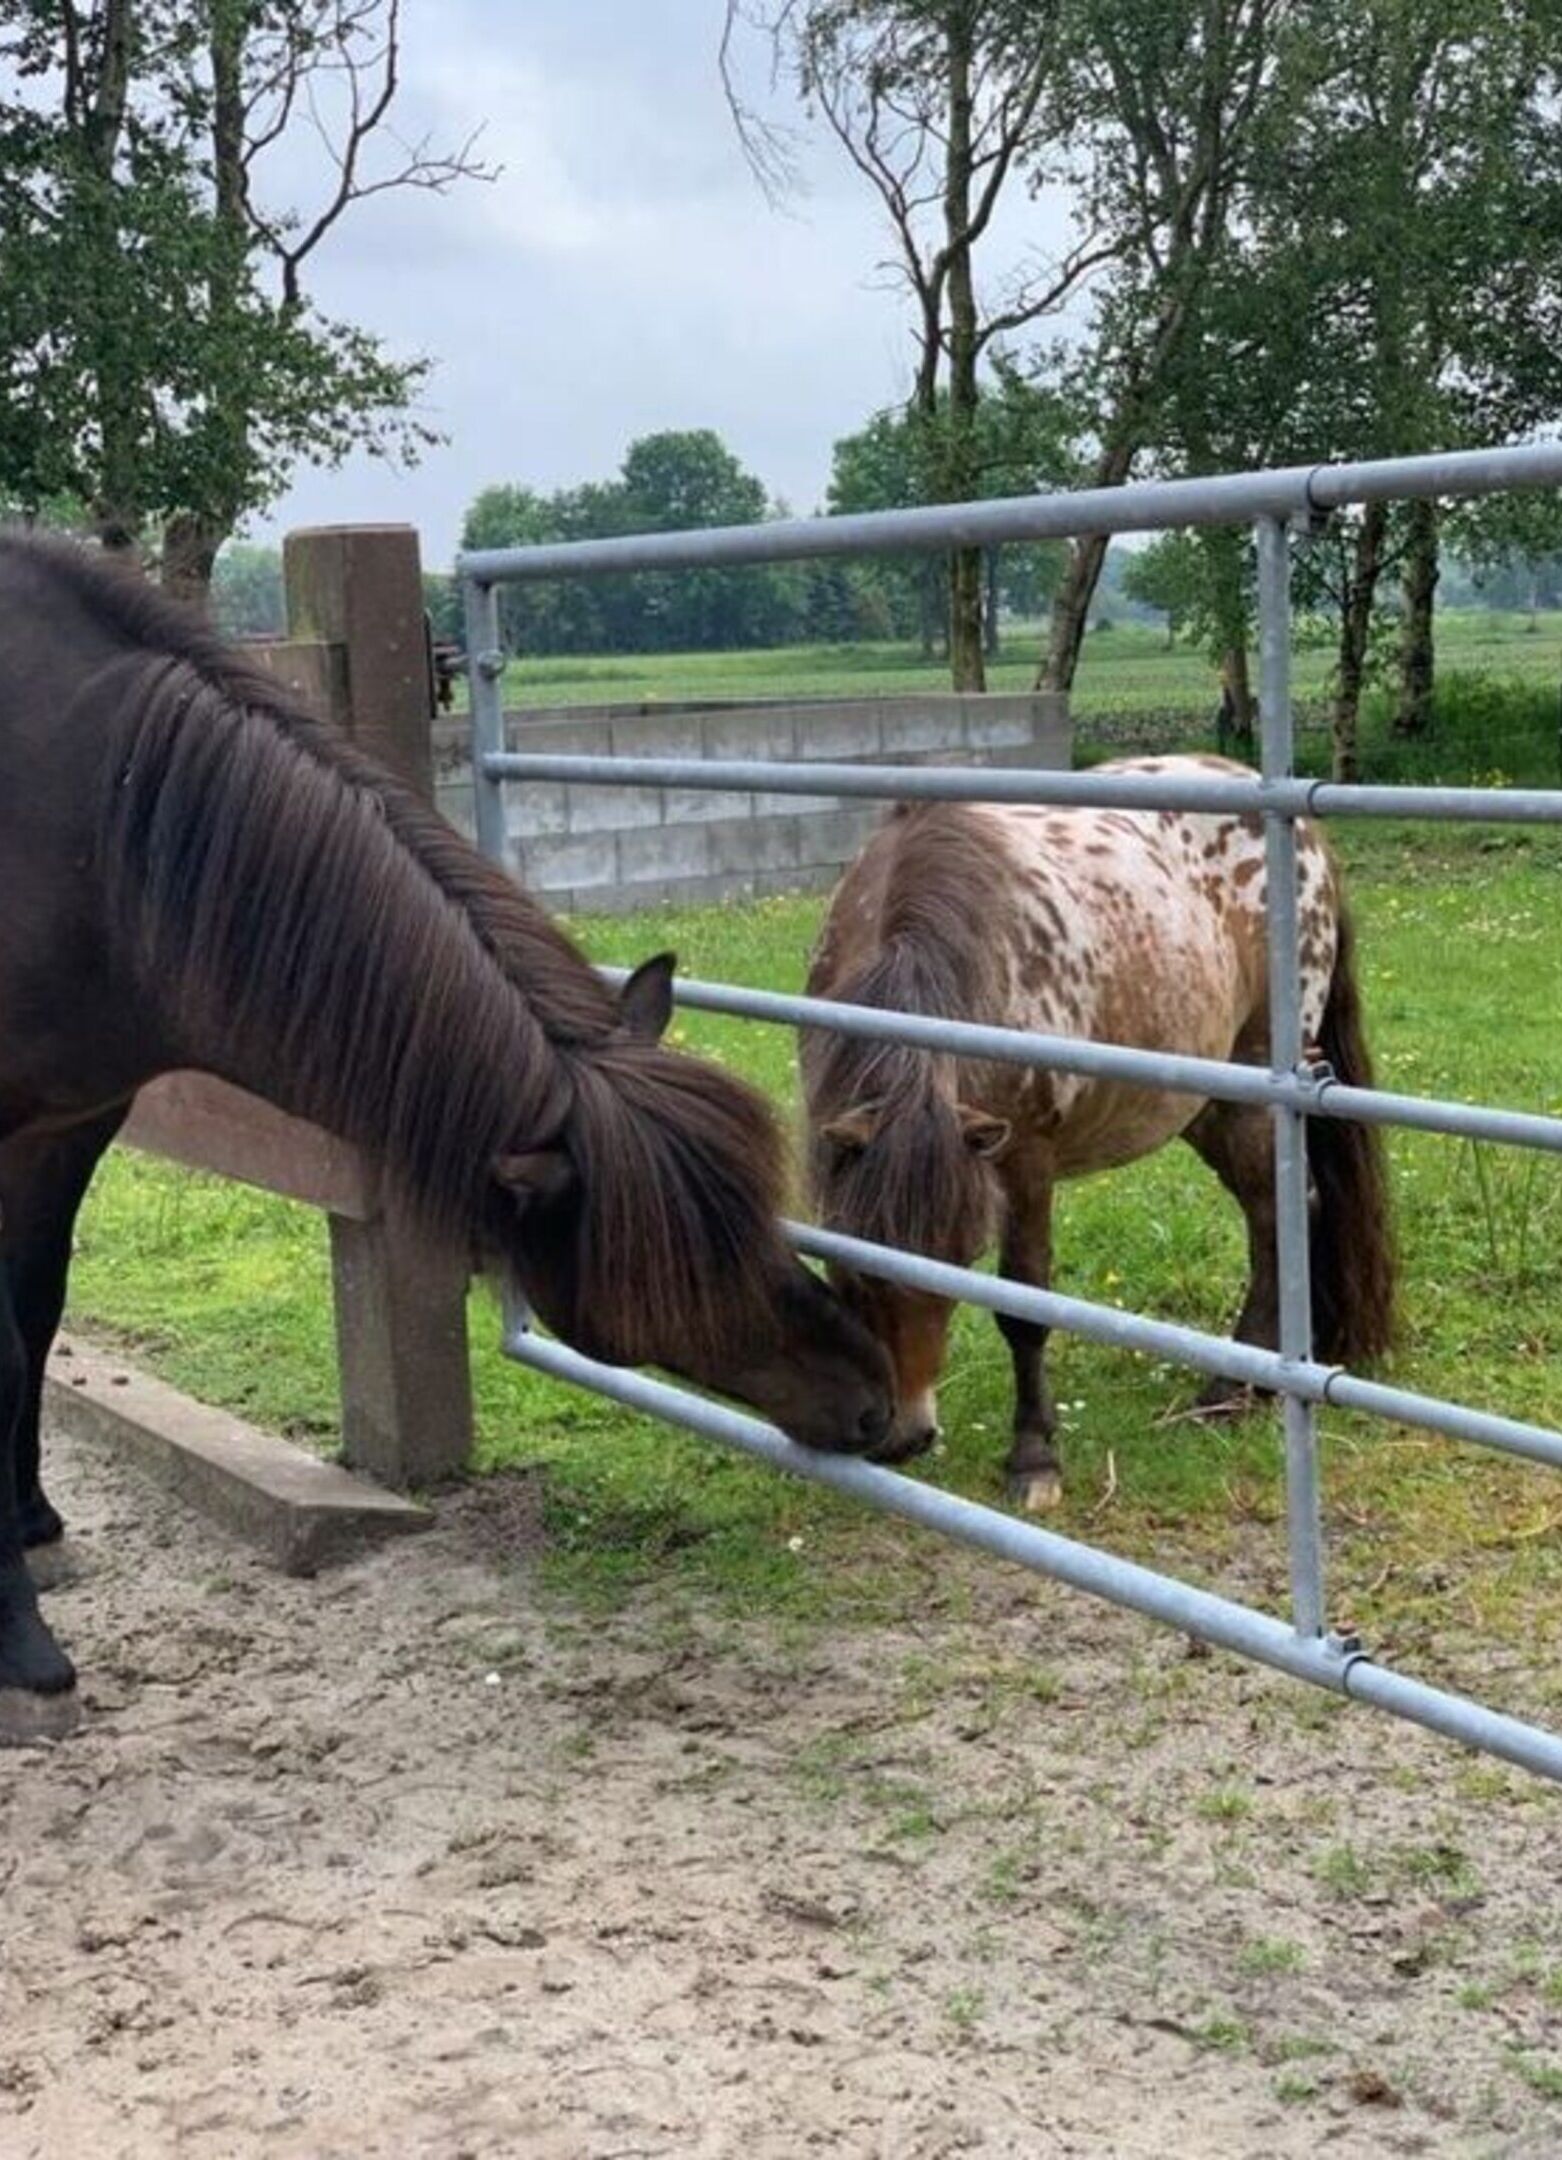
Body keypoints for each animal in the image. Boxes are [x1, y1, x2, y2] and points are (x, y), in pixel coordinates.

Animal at [0, 532, 893, 1722]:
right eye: (683, 1258)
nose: (879, 1401)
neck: (82, 820)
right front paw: (21, 1645)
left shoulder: (66, 1124)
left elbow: (34, 1315)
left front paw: (33, 1530)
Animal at [801, 756, 1396, 1510]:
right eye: (849, 1265)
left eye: (958, 1258)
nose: (904, 1435)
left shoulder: (1022, 1160)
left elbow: (1023, 1306)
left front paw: (1034, 1458)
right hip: (1205, 1104)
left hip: (1255, 1090)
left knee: (1277, 1217)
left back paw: (1228, 1393)